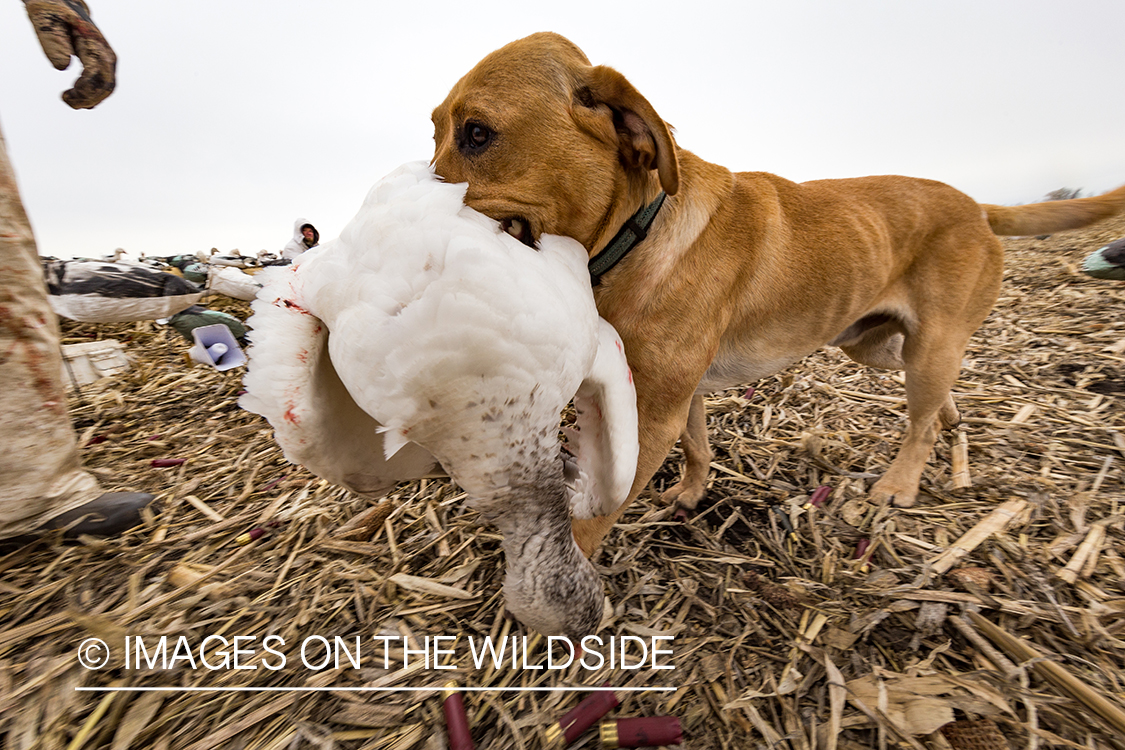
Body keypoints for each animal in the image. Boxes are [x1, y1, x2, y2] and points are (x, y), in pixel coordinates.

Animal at [429, 30, 1125, 557]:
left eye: (477, 133)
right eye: (435, 129)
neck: (639, 231)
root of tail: (979, 206)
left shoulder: (652, 412)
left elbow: (596, 515)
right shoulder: (678, 398)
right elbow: (698, 446)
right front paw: (691, 493)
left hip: (929, 347)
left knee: (921, 425)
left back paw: (900, 484)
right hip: (877, 346)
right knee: (934, 404)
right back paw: (949, 423)